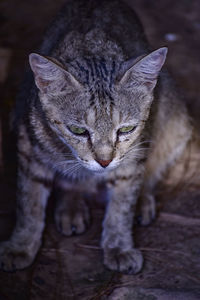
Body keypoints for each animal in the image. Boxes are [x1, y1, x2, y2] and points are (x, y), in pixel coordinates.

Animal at [0, 0, 192, 274]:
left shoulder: (131, 158)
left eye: (125, 130)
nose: (104, 162)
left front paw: (119, 246)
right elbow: (29, 203)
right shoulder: (29, 145)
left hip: (175, 117)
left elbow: (122, 204)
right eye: (78, 131)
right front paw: (21, 245)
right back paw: (71, 206)